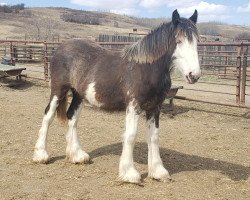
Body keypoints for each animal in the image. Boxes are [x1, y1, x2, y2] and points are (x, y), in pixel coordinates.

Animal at [33, 10, 201, 184]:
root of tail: (61, 48)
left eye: (197, 41)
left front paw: (158, 172)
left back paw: (77, 156)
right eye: (178, 41)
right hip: (58, 90)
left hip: (79, 94)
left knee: (72, 117)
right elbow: (131, 135)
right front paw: (129, 174)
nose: (193, 75)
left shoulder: (155, 108)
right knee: (48, 116)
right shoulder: (133, 106)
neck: (146, 69)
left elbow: (154, 137)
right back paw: (41, 155)